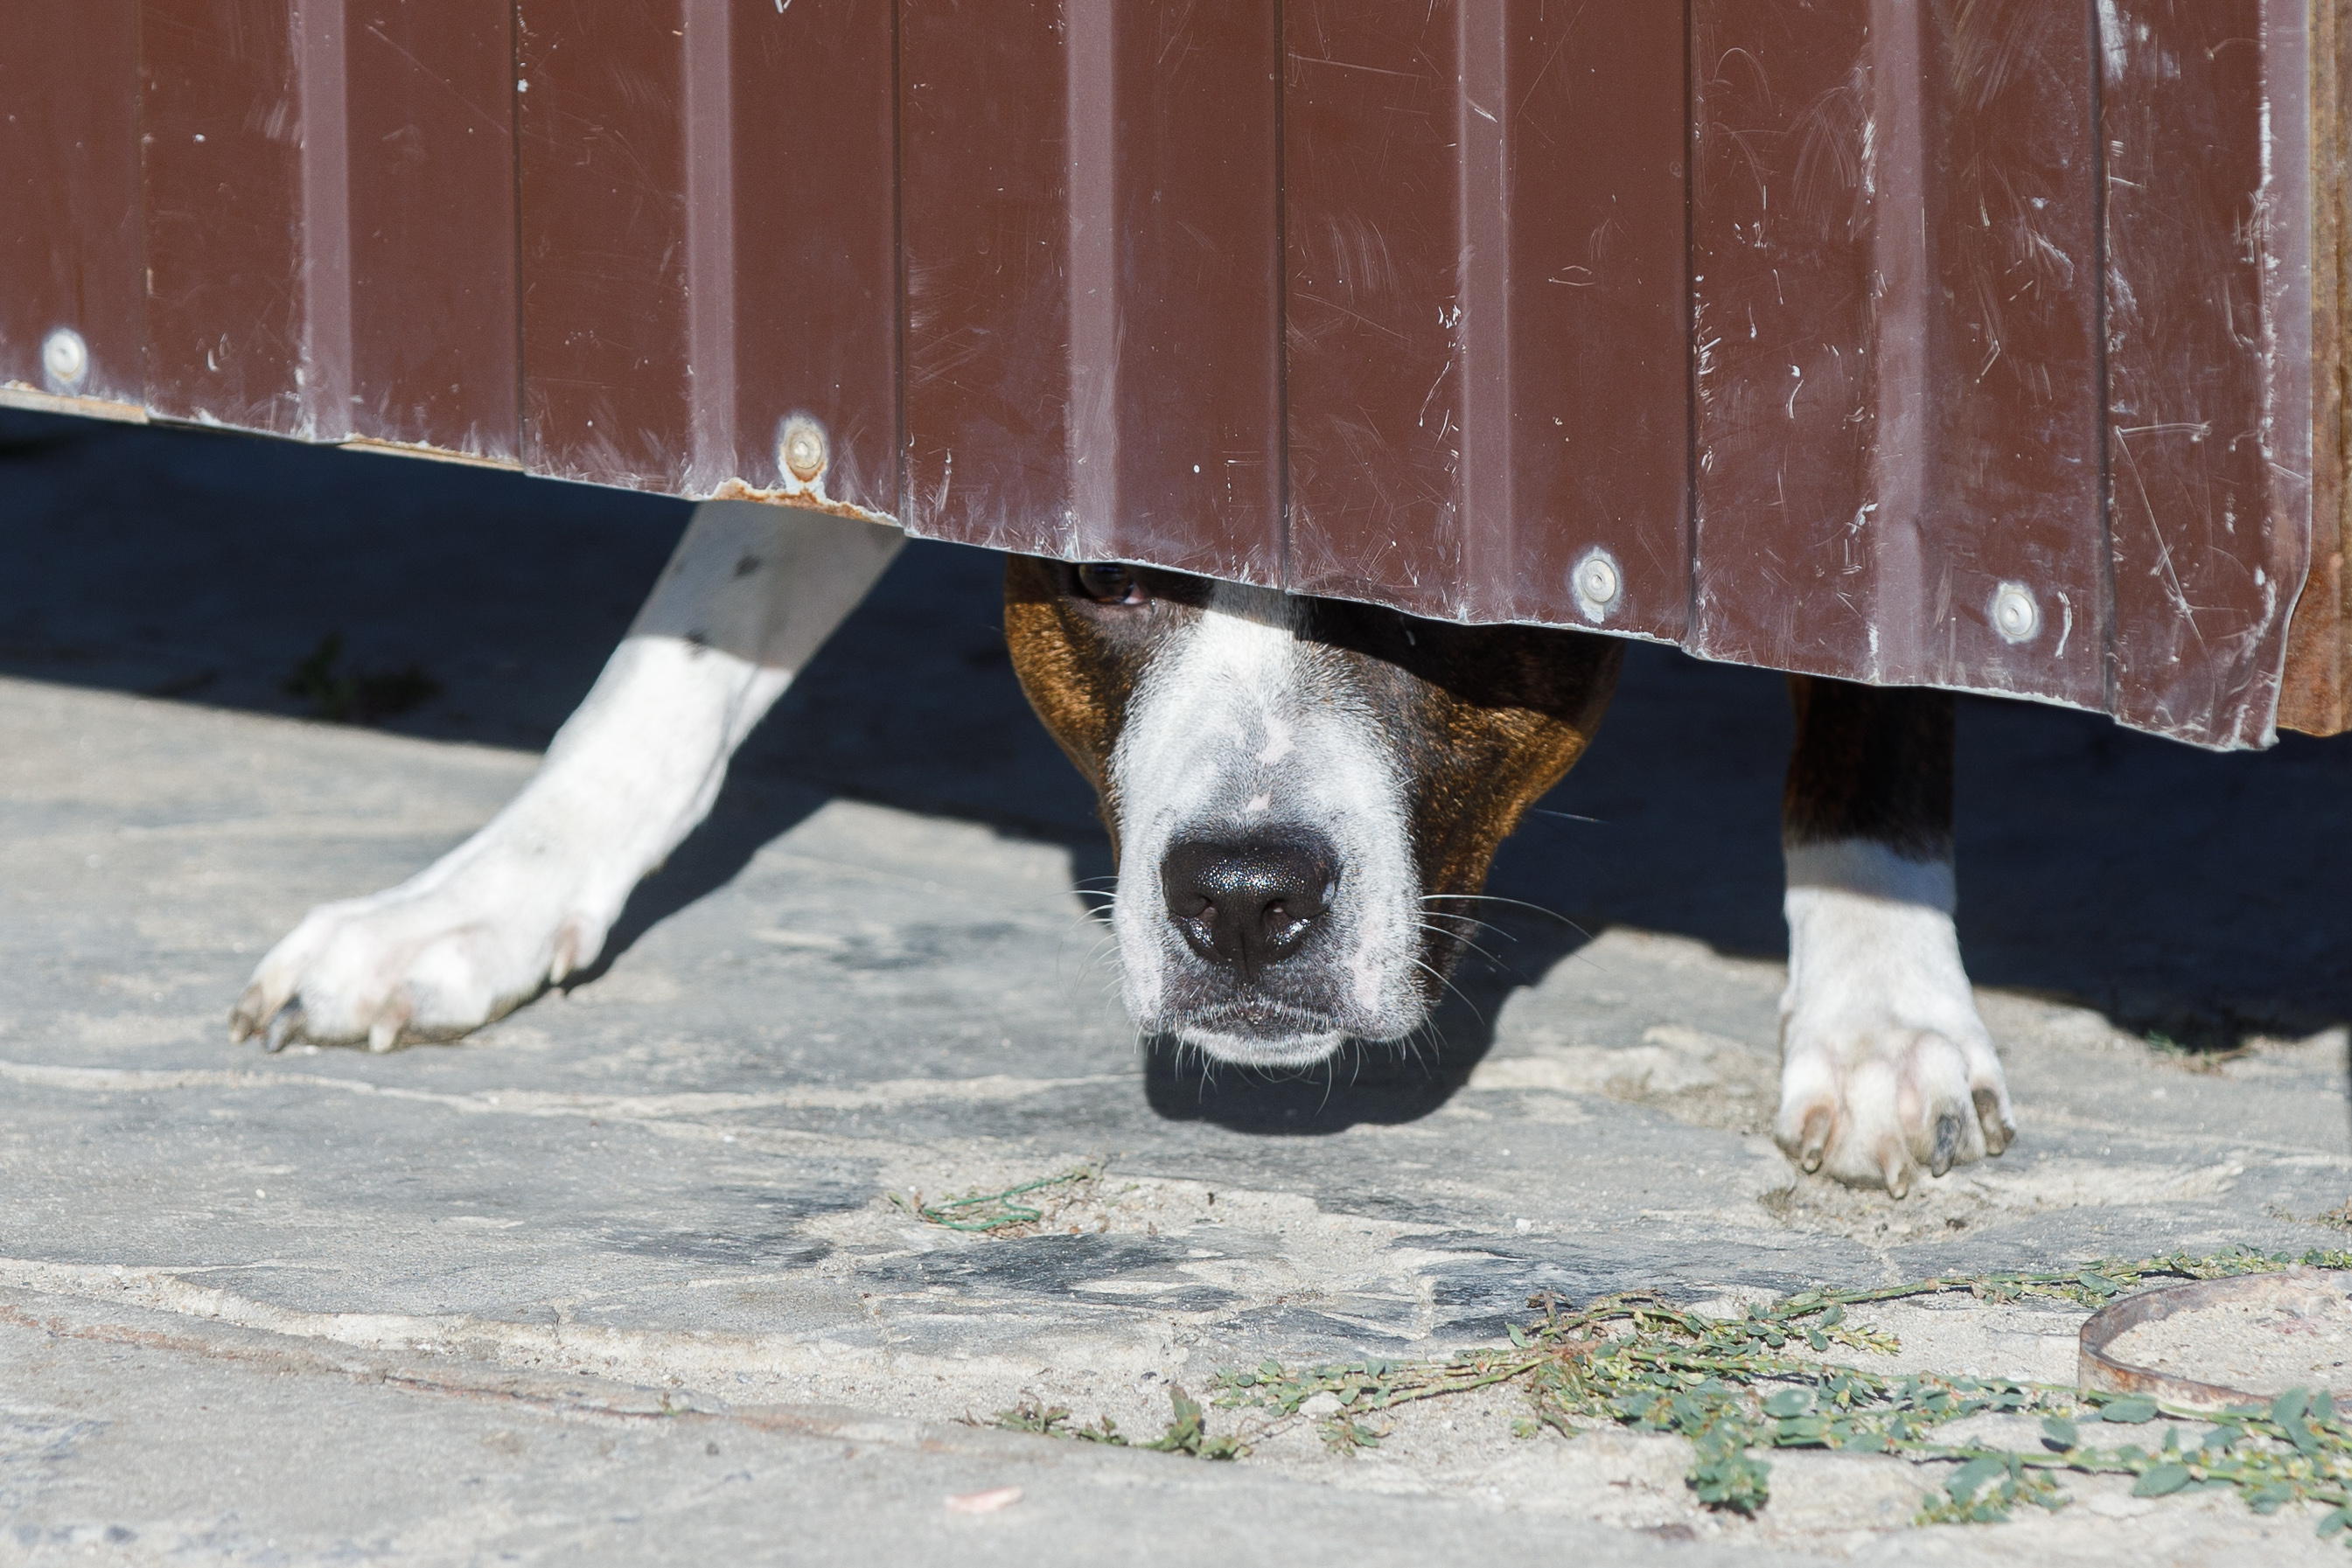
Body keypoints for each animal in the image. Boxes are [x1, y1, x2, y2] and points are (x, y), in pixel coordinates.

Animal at [229, 503, 2013, 1189]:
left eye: (1430, 598)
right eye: (1099, 573)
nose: (1241, 898)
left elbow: (1881, 672)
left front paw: (1878, 1008)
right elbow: (690, 628)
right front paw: (476, 900)